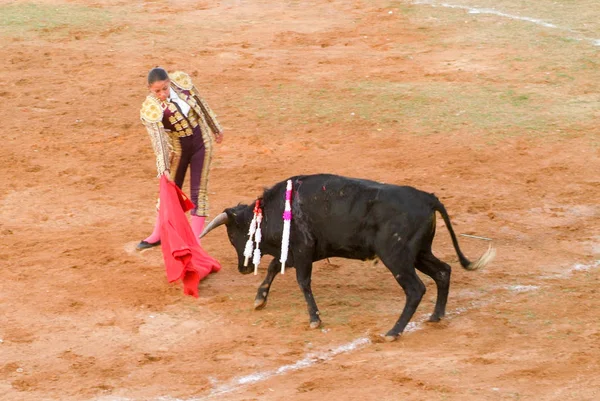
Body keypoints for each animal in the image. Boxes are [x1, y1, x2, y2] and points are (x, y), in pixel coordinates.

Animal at [199, 173, 494, 340]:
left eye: (232, 235)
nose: (242, 268)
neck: (273, 210)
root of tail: (428, 198)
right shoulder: (300, 252)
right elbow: (274, 266)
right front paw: (260, 299)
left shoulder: (303, 251)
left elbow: (302, 282)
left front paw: (315, 319)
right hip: (420, 252)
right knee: (443, 271)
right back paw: (436, 316)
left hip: (396, 257)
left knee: (416, 289)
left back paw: (393, 332)